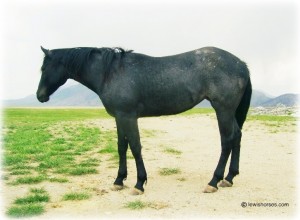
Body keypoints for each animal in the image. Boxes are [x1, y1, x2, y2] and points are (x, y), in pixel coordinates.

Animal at [38, 46, 253, 194]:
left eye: (44, 68)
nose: (40, 96)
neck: (111, 73)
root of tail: (241, 64)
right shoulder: (120, 117)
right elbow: (121, 147)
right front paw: (119, 180)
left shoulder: (128, 117)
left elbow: (135, 147)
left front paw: (139, 183)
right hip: (229, 112)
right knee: (237, 136)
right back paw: (229, 177)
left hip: (223, 110)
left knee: (227, 140)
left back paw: (214, 181)